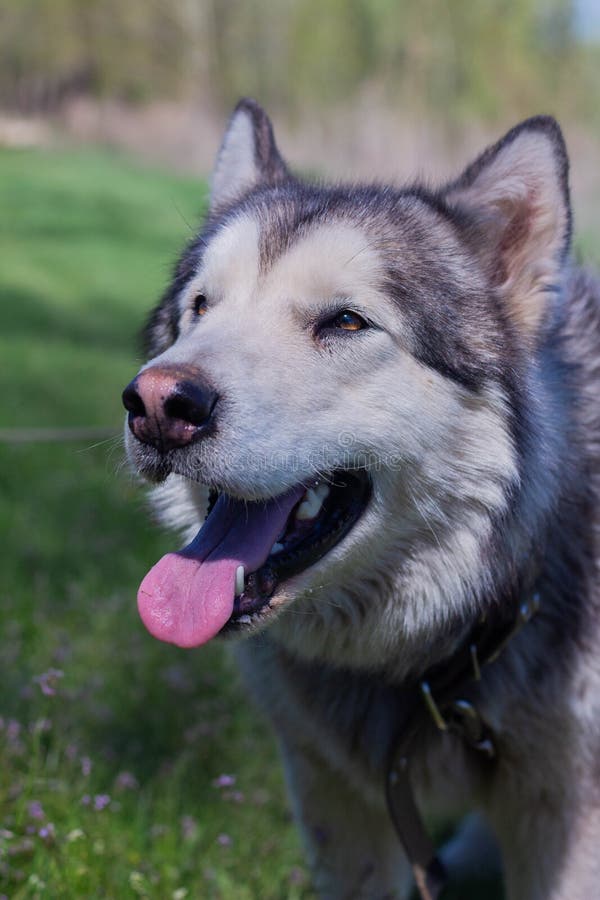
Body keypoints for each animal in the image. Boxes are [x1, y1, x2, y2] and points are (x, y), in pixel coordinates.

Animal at [122, 100, 600, 900]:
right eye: (200, 308)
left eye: (345, 322)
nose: (157, 405)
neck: (436, 656)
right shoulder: (335, 798)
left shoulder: (563, 811)